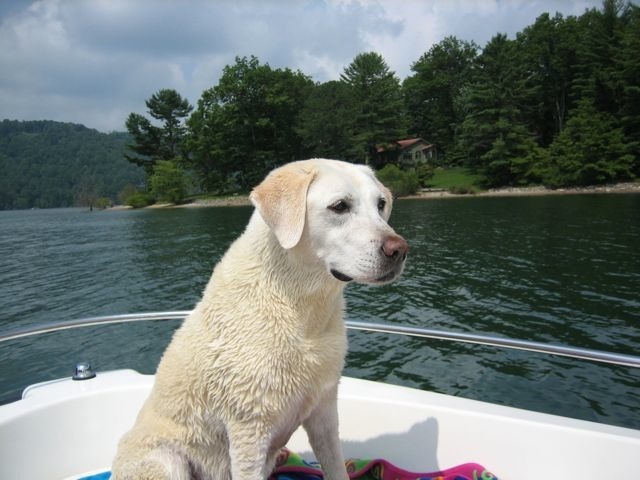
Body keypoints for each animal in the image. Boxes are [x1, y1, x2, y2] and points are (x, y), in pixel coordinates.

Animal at [112, 159, 408, 478]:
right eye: (339, 206)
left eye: (381, 204)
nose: (399, 250)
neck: (299, 306)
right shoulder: (249, 430)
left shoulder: (324, 411)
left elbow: (337, 467)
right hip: (166, 460)